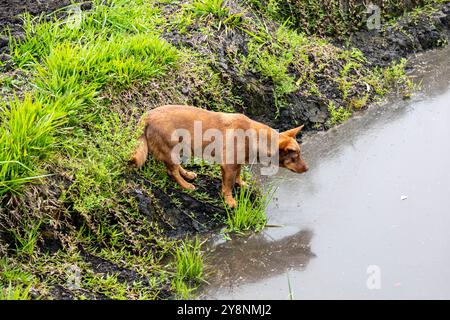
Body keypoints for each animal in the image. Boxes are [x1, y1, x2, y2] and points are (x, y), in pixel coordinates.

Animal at [128, 105, 308, 208]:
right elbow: (227, 186)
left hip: (178, 149)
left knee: (175, 167)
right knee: (171, 171)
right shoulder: (227, 166)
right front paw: (229, 201)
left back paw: (187, 174)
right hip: (170, 149)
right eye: (296, 156)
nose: (307, 169)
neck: (255, 137)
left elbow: (238, 175)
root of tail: (147, 116)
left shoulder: (237, 163)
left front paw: (241, 183)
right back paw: (185, 185)